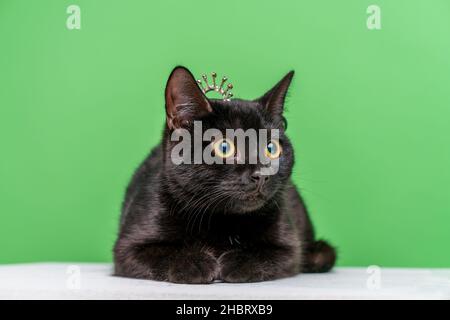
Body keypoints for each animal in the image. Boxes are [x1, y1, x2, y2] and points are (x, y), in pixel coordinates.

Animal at [114, 66, 336, 284]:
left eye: (271, 148)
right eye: (224, 147)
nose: (262, 175)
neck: (220, 219)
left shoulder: (289, 246)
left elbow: (270, 254)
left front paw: (237, 261)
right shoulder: (128, 248)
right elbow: (163, 253)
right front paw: (195, 262)